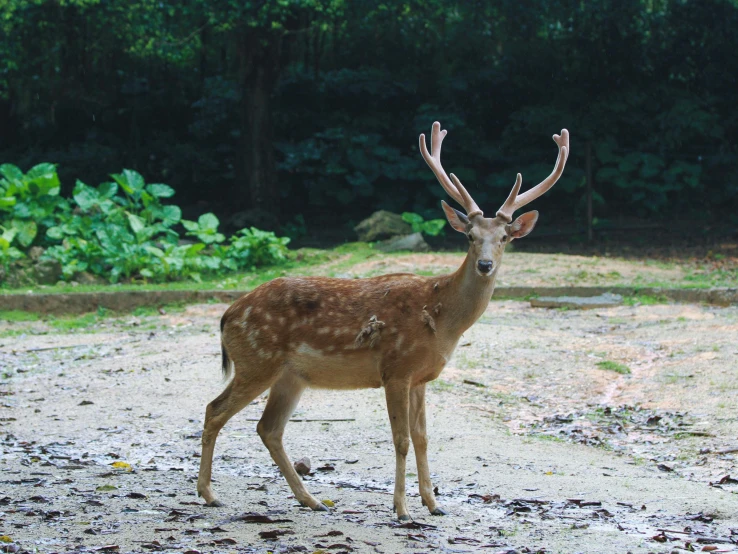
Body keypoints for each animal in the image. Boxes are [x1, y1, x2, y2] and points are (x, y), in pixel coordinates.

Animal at [197, 119, 568, 516]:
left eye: (504, 238)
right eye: (469, 235)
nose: (485, 264)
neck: (443, 322)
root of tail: (228, 315)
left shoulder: (421, 377)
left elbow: (422, 437)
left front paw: (433, 504)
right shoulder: (395, 368)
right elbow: (401, 439)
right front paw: (402, 509)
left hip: (290, 375)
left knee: (268, 428)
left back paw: (312, 500)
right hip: (257, 360)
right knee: (214, 410)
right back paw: (209, 493)